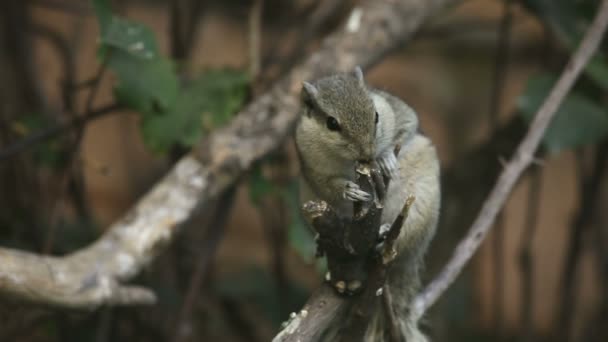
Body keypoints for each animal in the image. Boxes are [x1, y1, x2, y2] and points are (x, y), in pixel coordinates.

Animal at [294, 66, 440, 340]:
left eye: (376, 115)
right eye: (331, 123)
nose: (368, 154)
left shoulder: (396, 109)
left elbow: (409, 124)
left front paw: (385, 159)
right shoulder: (312, 166)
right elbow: (327, 183)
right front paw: (348, 190)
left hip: (419, 212)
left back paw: (382, 238)